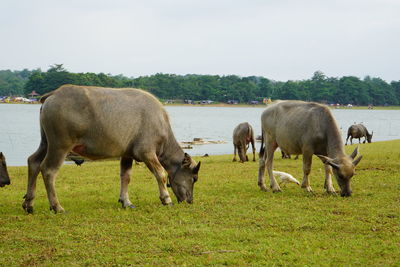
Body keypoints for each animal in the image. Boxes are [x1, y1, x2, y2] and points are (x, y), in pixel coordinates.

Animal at [21, 85, 200, 215]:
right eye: (194, 178)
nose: (190, 200)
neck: (160, 122)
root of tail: (54, 94)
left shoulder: (127, 154)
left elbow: (125, 177)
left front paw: (126, 201)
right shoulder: (147, 153)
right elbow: (161, 174)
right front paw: (166, 199)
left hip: (46, 143)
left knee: (33, 161)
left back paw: (29, 203)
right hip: (60, 146)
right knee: (49, 170)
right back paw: (57, 207)